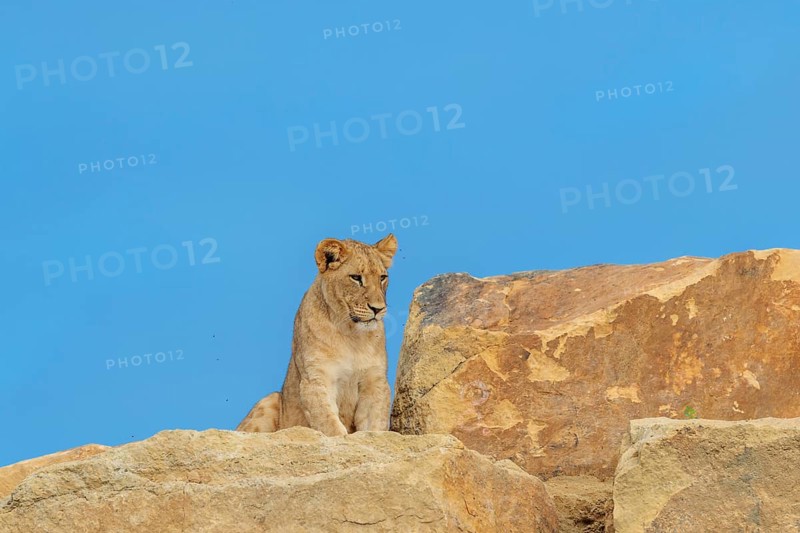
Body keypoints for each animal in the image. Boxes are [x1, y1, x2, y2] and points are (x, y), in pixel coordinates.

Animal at [236, 234, 398, 436]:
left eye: (382, 278)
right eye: (356, 278)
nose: (378, 309)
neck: (351, 333)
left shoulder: (374, 381)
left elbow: (374, 426)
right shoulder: (316, 379)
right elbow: (329, 424)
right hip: (270, 400)